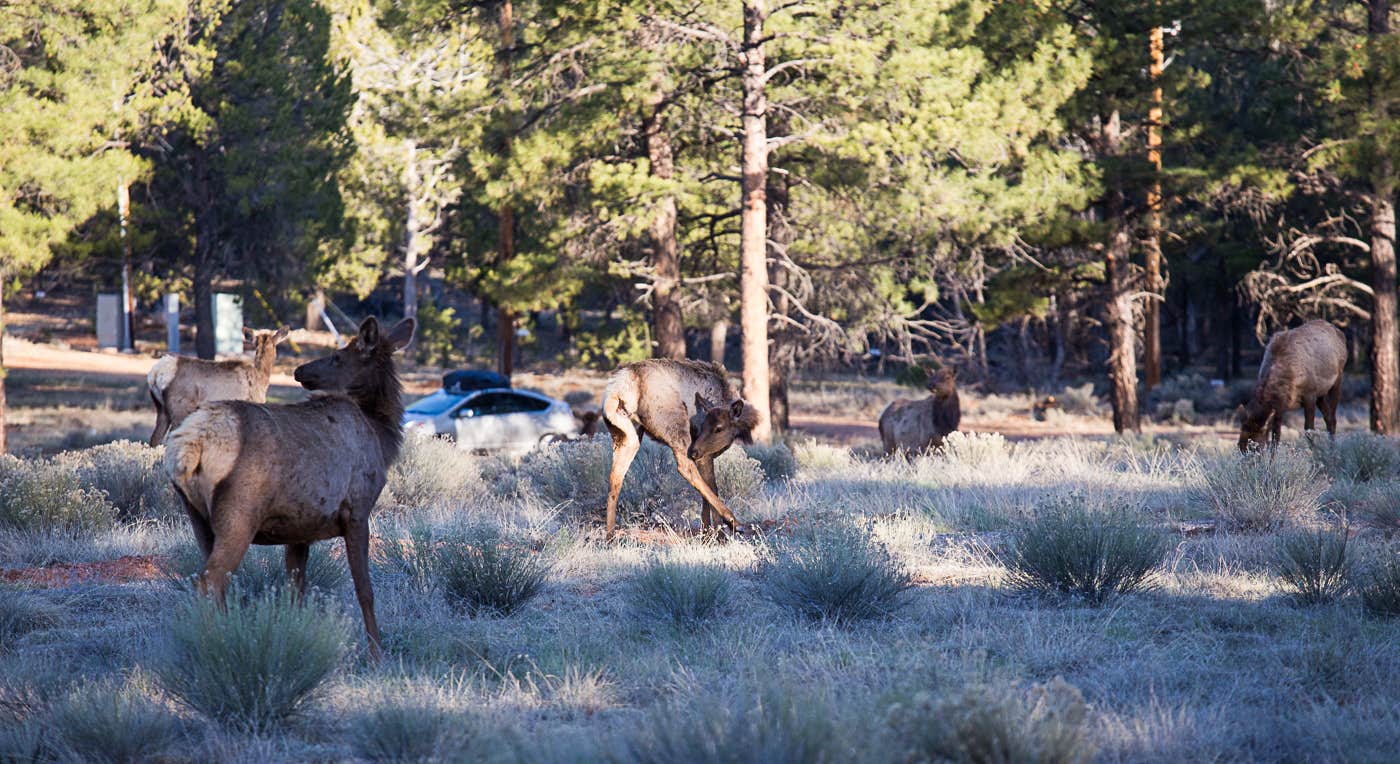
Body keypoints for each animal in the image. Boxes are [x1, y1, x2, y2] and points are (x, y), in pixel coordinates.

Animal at [164, 316, 414, 657]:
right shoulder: (358, 510)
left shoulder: (300, 529)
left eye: (337, 357)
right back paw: (219, 642)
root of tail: (189, 445)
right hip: (239, 513)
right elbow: (365, 589)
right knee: (210, 581)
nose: (300, 371)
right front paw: (377, 653)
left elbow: (296, 591)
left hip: (197, 517)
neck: (380, 435)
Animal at [601, 359, 760, 540]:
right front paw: (717, 534)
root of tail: (618, 389)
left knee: (615, 479)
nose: (695, 451)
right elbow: (712, 486)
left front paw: (707, 532)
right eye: (705, 426)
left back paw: (610, 536)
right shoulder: (704, 453)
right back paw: (735, 522)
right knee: (685, 467)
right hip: (676, 425)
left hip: (626, 434)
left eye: (718, 428)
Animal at [1239, 319, 1347, 452]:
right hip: (1320, 395)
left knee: (1333, 417)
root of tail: (1341, 334)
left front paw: (1313, 454)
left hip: (1337, 381)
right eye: (1239, 446)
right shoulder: (1279, 407)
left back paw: (1333, 449)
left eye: (1256, 448)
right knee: (1328, 418)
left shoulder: (1310, 394)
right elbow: (1276, 437)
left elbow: (1309, 430)